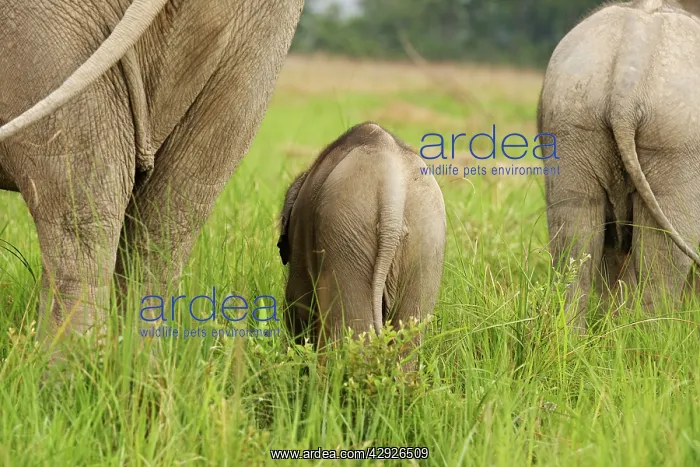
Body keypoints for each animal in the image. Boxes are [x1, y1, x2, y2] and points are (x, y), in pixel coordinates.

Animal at [537, 0, 700, 332]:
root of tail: (627, 82)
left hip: (571, 121)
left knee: (574, 233)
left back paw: (573, 336)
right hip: (677, 139)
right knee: (664, 258)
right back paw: (655, 337)